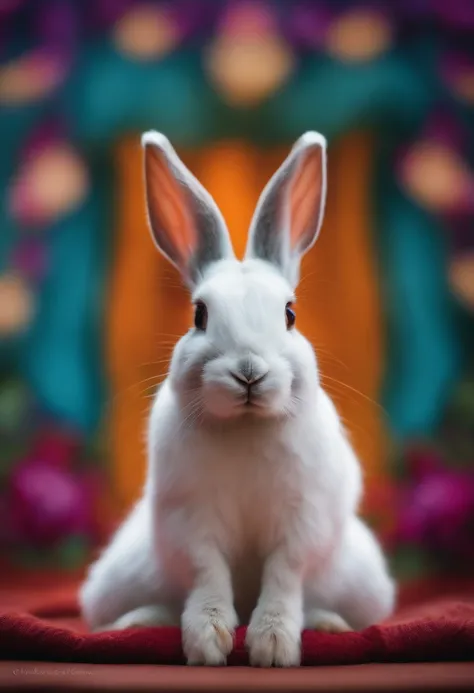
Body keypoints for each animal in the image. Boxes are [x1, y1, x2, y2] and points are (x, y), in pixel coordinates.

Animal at [79, 130, 394, 664]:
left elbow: (284, 575)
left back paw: (328, 624)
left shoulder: (303, 523)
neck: (246, 426)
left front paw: (272, 645)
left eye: (289, 313)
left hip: (362, 577)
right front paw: (208, 642)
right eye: (200, 315)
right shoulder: (191, 520)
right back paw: (139, 621)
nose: (249, 371)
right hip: (124, 572)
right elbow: (207, 574)